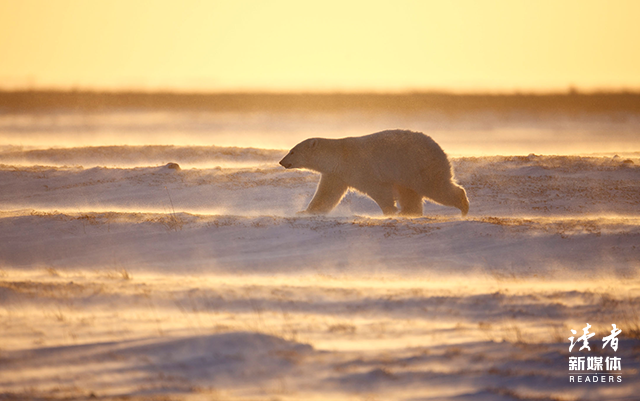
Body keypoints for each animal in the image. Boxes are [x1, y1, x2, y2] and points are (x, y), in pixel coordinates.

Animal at [280, 129, 470, 216]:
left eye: (292, 151)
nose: (282, 162)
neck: (340, 155)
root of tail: (438, 147)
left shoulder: (361, 168)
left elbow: (379, 191)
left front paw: (389, 212)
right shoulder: (337, 174)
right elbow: (326, 195)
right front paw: (305, 212)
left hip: (419, 165)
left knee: (436, 187)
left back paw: (463, 207)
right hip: (408, 172)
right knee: (410, 194)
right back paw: (408, 213)